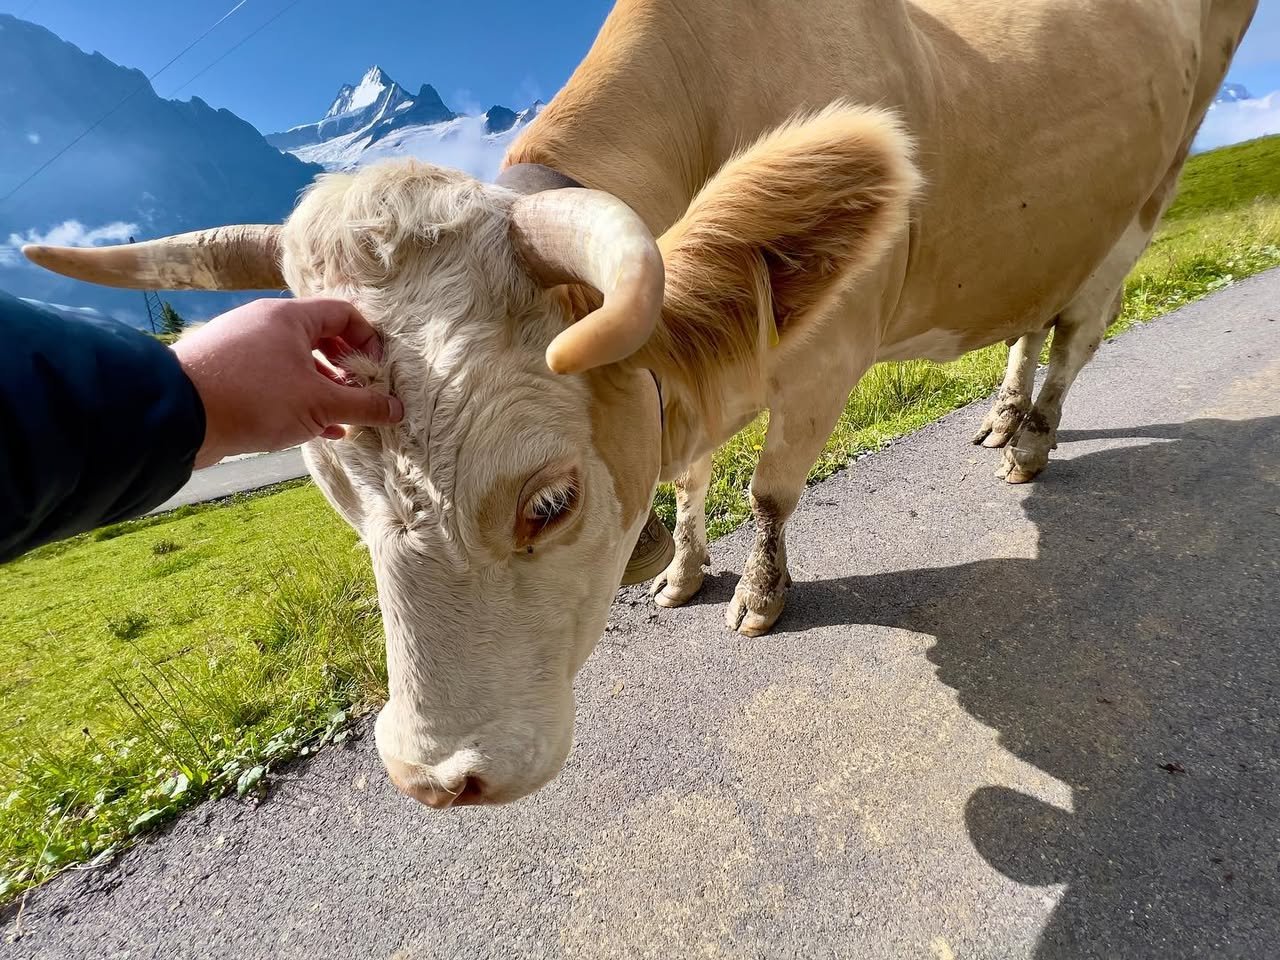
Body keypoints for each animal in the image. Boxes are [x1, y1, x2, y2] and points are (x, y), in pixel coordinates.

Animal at [25, 0, 1259, 808]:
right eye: (337, 492)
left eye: (549, 501)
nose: (434, 778)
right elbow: (694, 470)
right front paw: (677, 571)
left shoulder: (825, 357)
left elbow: (769, 490)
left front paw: (756, 594)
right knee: (1029, 320)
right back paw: (1002, 415)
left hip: (1143, 199)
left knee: (1077, 331)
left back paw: (1033, 442)